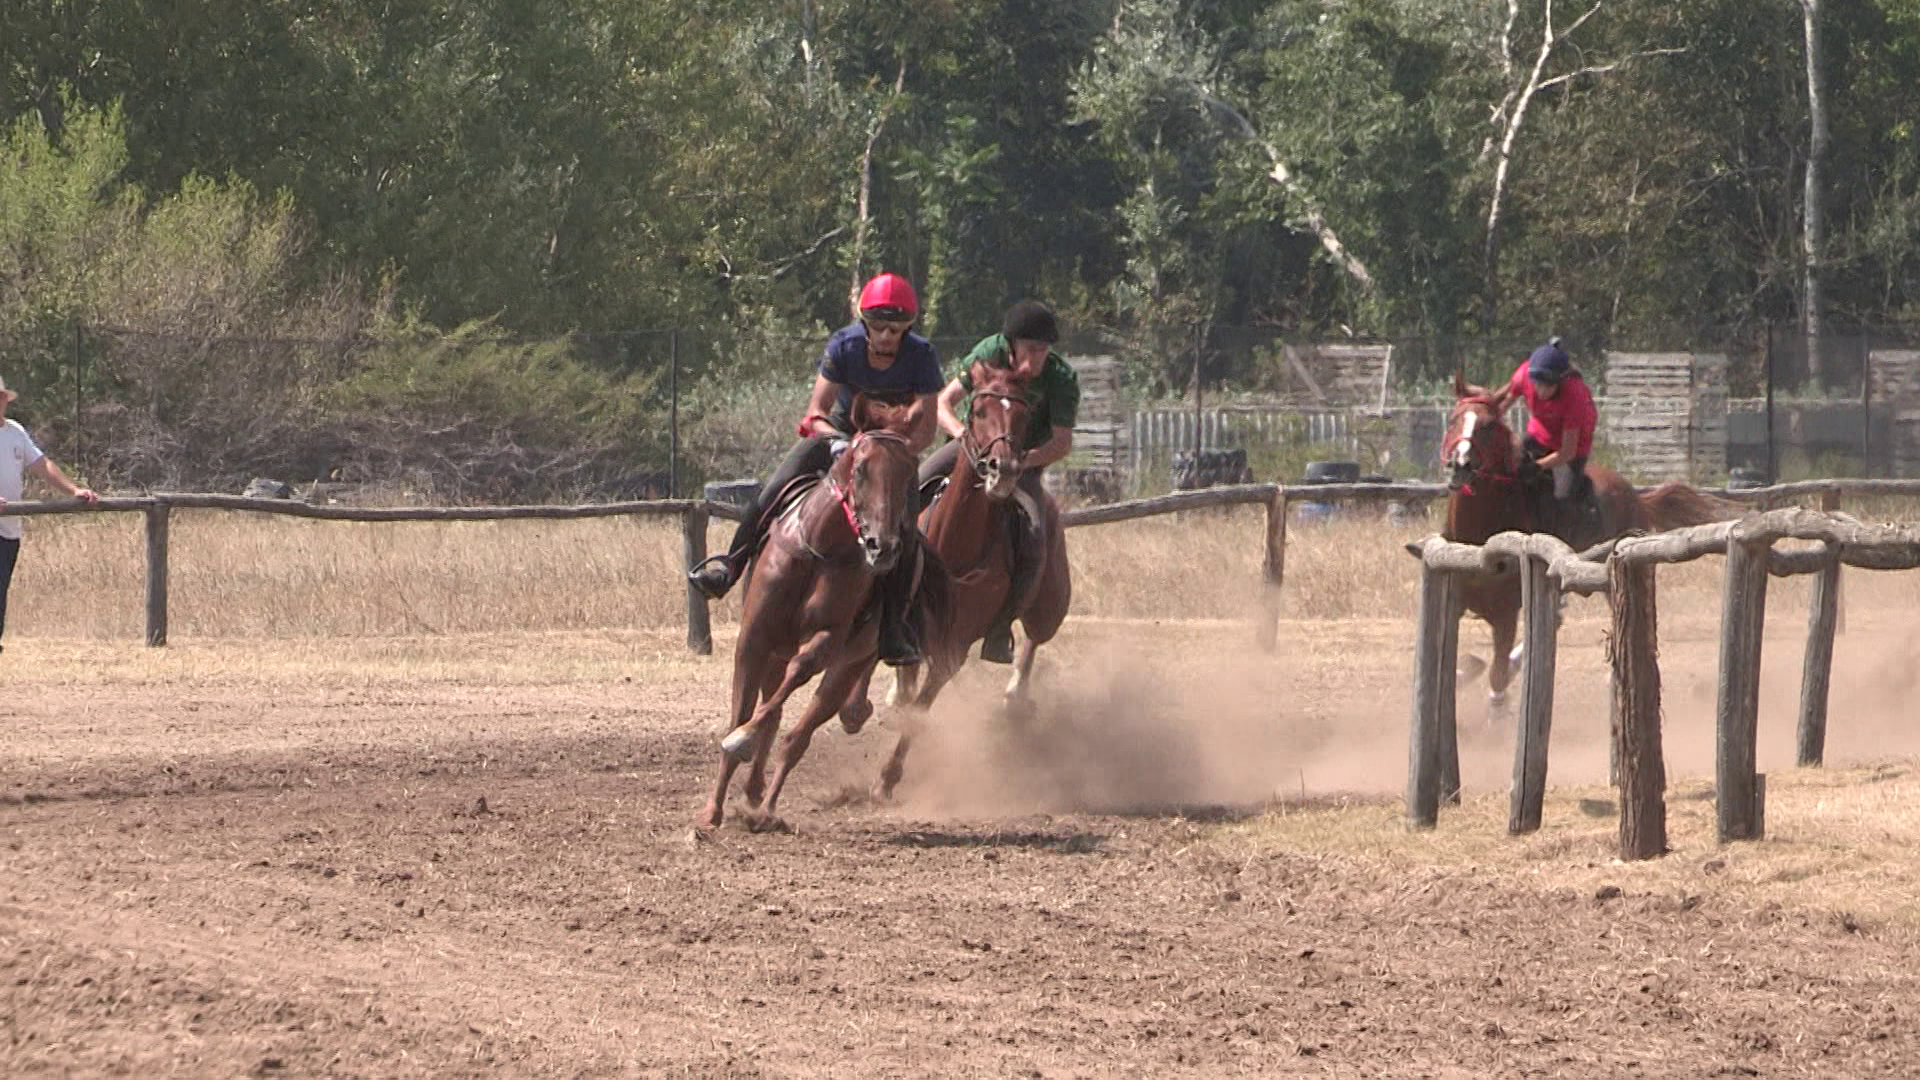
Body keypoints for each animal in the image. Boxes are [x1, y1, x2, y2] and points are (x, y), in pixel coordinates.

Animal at [706, 395, 921, 822]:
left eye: (909, 472)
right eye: (861, 468)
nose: (883, 547)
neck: (820, 548)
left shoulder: (827, 640)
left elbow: (798, 674)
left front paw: (742, 741)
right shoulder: (754, 639)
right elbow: (743, 713)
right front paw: (709, 814)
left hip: (849, 665)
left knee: (797, 736)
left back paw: (766, 810)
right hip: (776, 653)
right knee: (775, 716)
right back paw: (753, 793)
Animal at [879, 357, 1075, 795]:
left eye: (1023, 415)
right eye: (980, 410)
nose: (1005, 470)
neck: (955, 547)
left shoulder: (954, 647)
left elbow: (923, 706)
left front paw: (887, 777)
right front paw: (896, 697)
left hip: (1050, 607)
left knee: (1033, 640)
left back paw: (1016, 695)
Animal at [1443, 374, 1743, 711]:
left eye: (1488, 425)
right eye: (1454, 419)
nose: (1460, 464)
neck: (1480, 536)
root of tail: (1636, 496)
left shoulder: (1505, 612)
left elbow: (1497, 674)